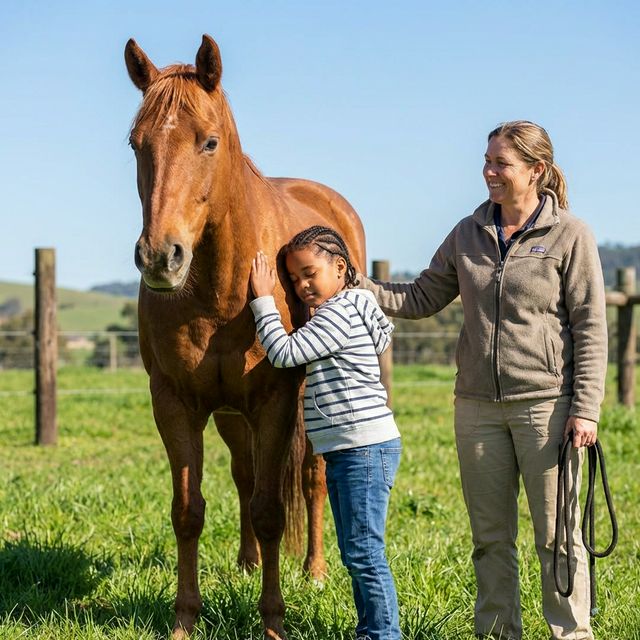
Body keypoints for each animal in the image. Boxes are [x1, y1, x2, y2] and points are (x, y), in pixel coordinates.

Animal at [124, 34, 366, 639]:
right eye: (137, 144)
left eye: (209, 142)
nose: (160, 257)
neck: (218, 290)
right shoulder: (176, 402)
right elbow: (188, 510)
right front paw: (185, 619)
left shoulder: (275, 401)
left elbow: (271, 510)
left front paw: (273, 620)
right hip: (234, 415)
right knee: (245, 475)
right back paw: (246, 562)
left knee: (310, 477)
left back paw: (315, 572)